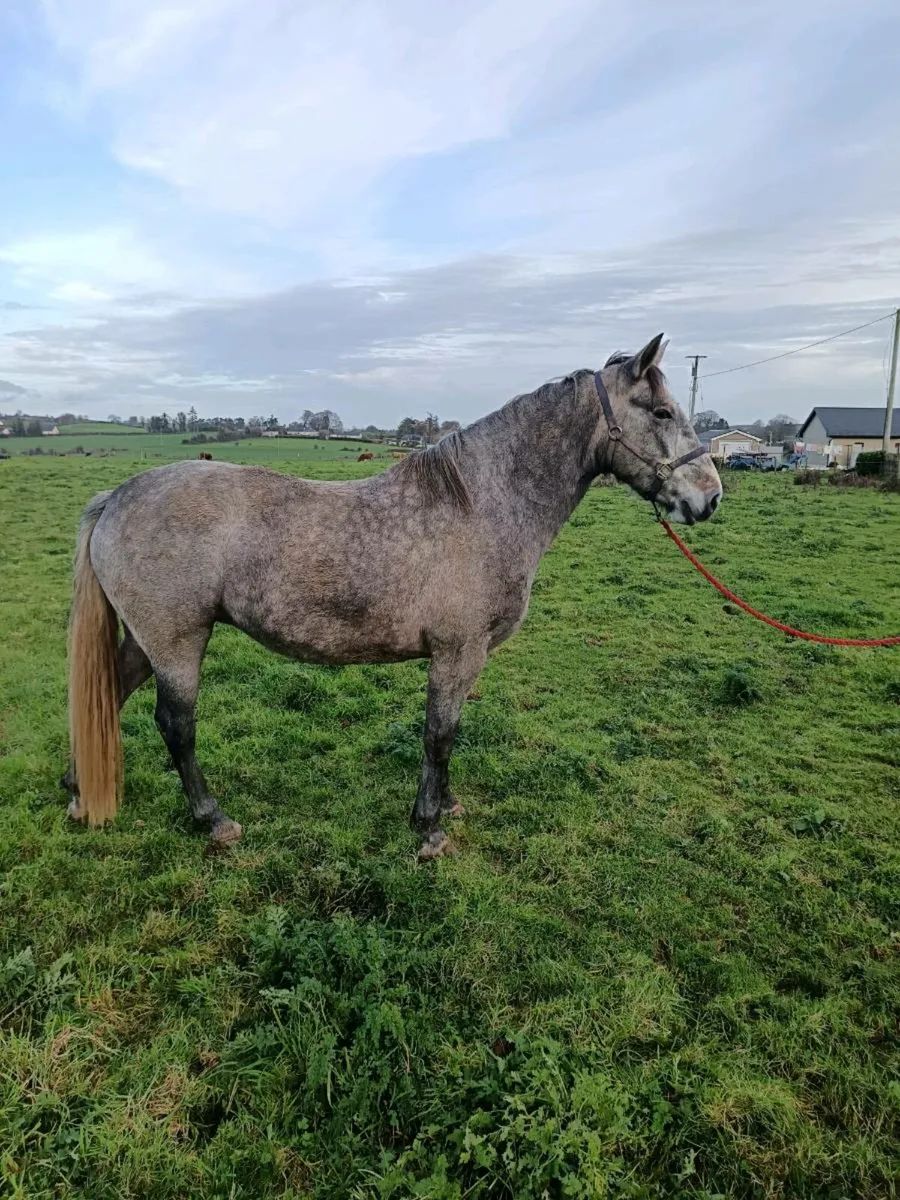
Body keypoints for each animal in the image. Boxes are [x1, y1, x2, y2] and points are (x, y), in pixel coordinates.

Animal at [64, 334, 722, 859]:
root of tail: (116, 497)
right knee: (176, 726)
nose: (710, 497)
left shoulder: (465, 657)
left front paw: (446, 806)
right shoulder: (457, 653)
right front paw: (429, 829)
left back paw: (76, 793)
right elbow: (439, 734)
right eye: (662, 411)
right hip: (177, 643)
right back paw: (214, 819)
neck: (479, 504)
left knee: (104, 697)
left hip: (144, 641)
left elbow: (449, 731)